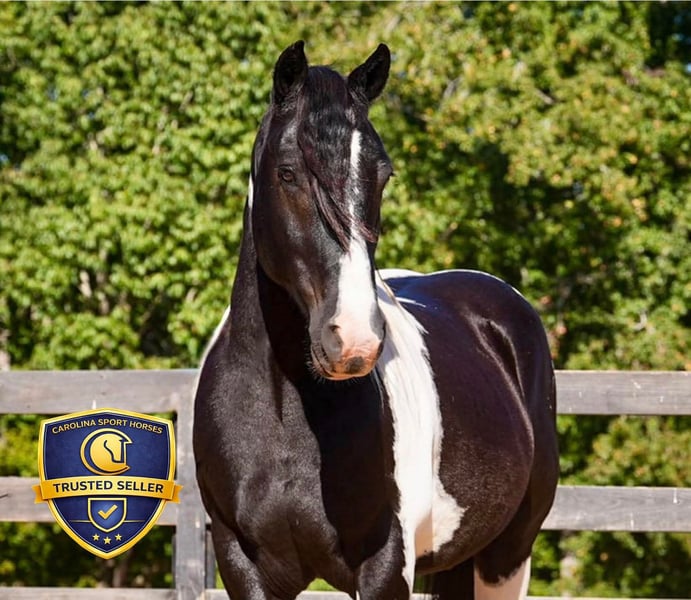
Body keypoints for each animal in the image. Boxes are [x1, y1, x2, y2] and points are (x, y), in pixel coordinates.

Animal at [193, 41, 559, 600]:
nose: (352, 341)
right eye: (287, 172)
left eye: (382, 174)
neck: (283, 417)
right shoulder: (241, 564)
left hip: (507, 553)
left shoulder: (384, 567)